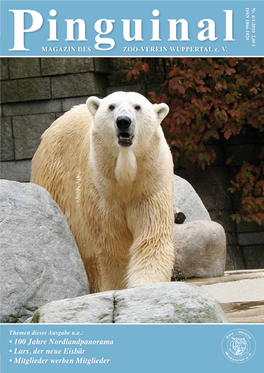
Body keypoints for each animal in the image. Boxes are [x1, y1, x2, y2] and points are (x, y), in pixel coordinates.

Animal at [31, 91, 174, 292]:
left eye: (137, 107)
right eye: (111, 106)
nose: (123, 121)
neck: (125, 179)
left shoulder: (150, 185)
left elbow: (151, 235)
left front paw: (145, 285)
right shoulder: (102, 192)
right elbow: (112, 244)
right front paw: (118, 285)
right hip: (54, 179)